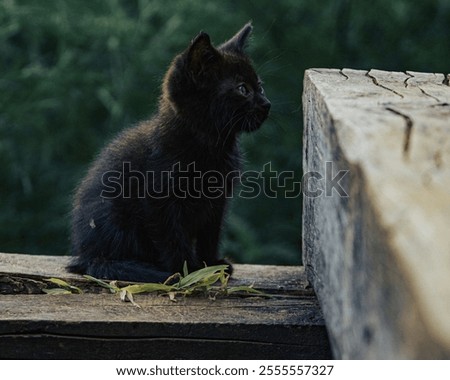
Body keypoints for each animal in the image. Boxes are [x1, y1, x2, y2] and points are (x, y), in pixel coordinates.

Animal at [67, 21, 270, 282]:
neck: (210, 144)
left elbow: (210, 234)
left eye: (260, 86)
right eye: (243, 89)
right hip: (113, 217)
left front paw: (210, 264)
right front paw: (187, 270)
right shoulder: (158, 201)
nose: (267, 104)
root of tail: (85, 255)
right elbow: (172, 238)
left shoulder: (217, 201)